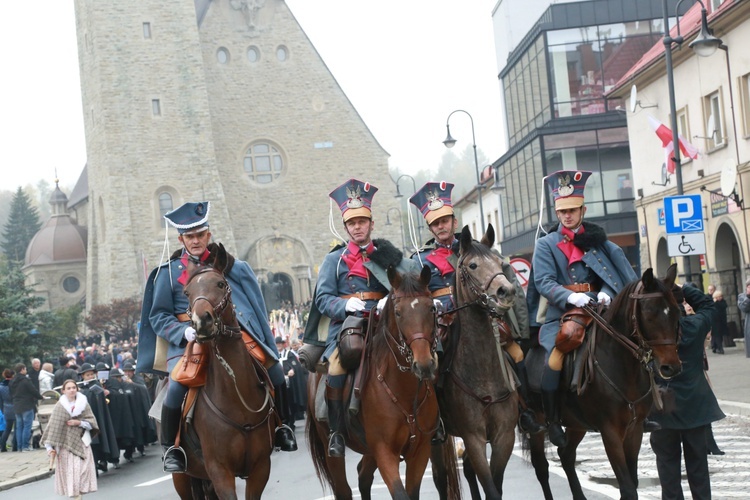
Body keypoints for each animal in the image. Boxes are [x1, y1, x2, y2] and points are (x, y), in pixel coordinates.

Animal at [173, 245, 276, 500]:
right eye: (187, 292)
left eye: (220, 283)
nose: (202, 321)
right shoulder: (220, 471)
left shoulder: (261, 467)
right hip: (183, 478)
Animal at [304, 264, 458, 498]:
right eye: (398, 312)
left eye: (432, 308)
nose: (424, 364)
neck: (404, 391)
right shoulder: (384, 450)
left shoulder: (420, 450)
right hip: (332, 447)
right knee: (343, 488)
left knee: (363, 476)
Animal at [428, 225, 524, 498]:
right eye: (472, 265)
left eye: (500, 263)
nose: (506, 291)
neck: (484, 373)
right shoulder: (473, 438)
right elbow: (489, 486)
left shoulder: (504, 436)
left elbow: (495, 485)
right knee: (440, 478)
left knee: (468, 470)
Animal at [524, 264, 684, 498]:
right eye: (649, 314)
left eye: (675, 312)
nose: (670, 367)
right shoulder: (610, 432)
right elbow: (628, 488)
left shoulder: (634, 430)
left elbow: (633, 482)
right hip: (537, 422)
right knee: (541, 467)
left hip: (576, 423)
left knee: (566, 454)